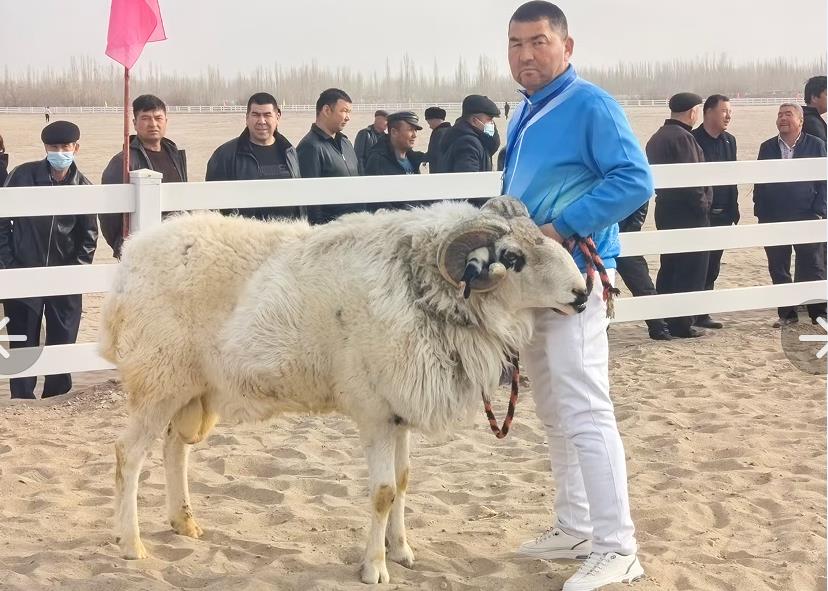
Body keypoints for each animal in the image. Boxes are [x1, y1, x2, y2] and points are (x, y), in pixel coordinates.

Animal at [99, 196, 588, 584]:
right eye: (513, 257)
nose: (582, 294)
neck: (416, 285)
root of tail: (131, 257)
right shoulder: (374, 412)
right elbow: (383, 492)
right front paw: (374, 568)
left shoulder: (398, 410)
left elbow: (405, 482)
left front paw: (402, 551)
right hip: (158, 380)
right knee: (128, 454)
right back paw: (131, 543)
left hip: (191, 388)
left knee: (173, 448)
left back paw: (184, 524)